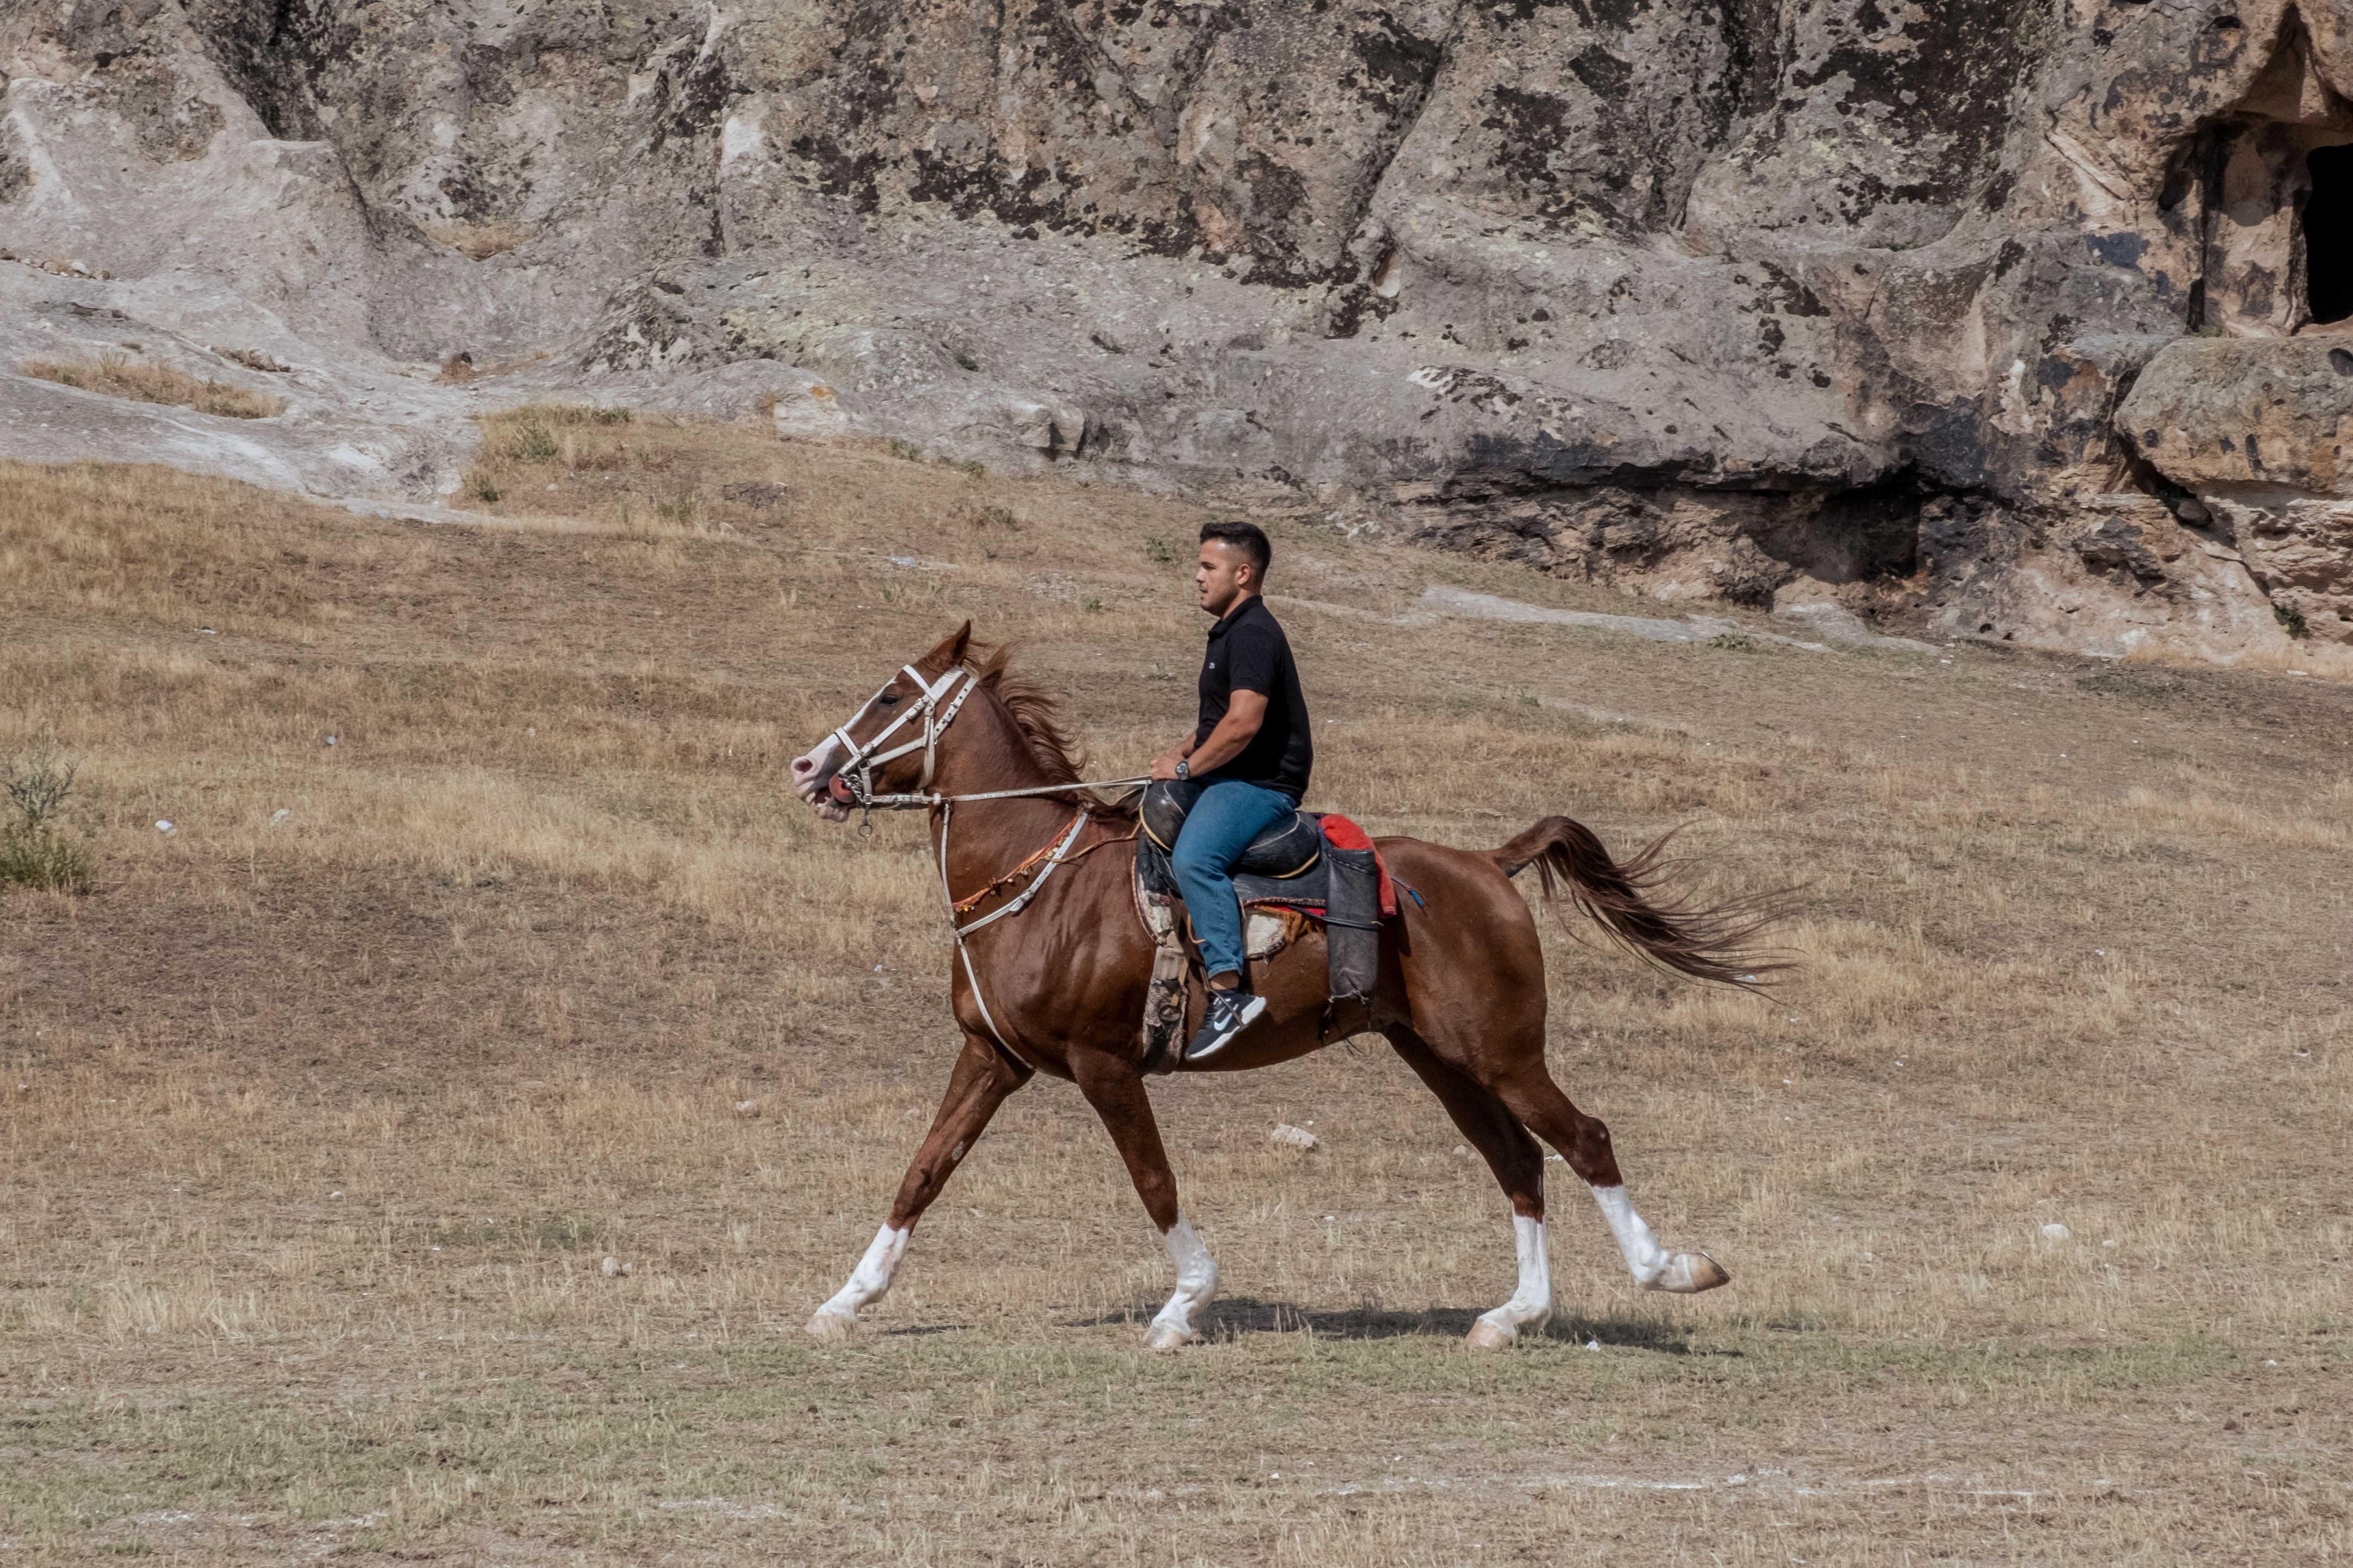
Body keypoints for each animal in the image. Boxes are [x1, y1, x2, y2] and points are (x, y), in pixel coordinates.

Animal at [788, 622, 1776, 1351]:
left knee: (1583, 1138)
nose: (807, 768)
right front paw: (846, 1300)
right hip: (1443, 1060)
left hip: (1502, 1053)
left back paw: (1670, 1270)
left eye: (889, 698)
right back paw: (1511, 1316)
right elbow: (924, 1171)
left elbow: (1154, 1182)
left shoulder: (1105, 1066)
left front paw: (1184, 1306)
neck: (1041, 879)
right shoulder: (991, 1056)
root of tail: (1487, 864)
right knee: (1519, 1160)